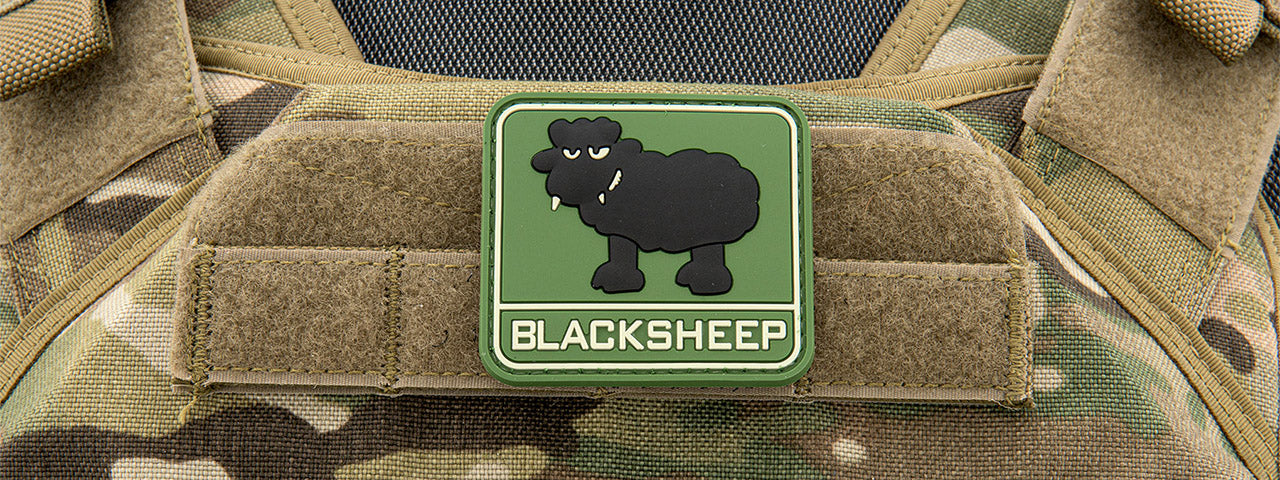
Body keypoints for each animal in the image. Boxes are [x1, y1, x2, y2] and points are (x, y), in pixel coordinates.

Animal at [531, 117, 760, 295]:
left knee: (709, 250)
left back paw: (703, 280)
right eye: (568, 153)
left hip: (710, 229)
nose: (573, 183)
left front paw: (618, 280)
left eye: (600, 152)